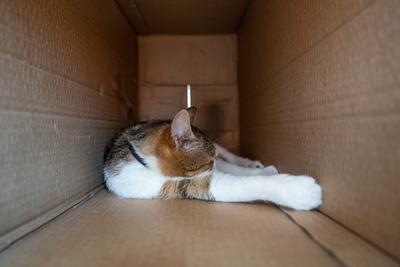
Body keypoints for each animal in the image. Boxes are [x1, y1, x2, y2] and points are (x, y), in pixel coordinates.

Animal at [103, 108, 322, 210]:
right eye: (208, 160)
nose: (214, 164)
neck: (140, 157)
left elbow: (238, 171)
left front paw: (265, 170)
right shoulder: (187, 186)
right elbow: (245, 184)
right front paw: (299, 191)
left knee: (232, 159)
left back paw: (251, 162)